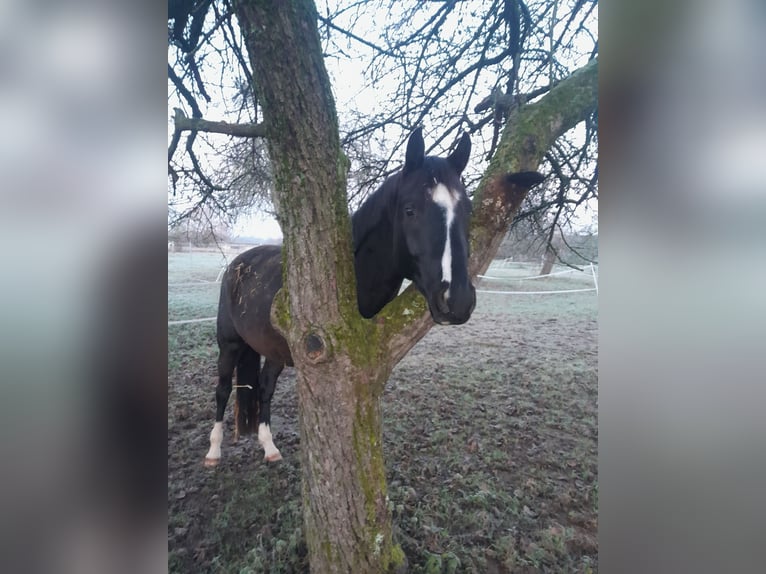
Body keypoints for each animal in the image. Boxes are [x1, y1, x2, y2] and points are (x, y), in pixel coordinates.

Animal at [203, 127, 535, 466]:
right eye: (410, 210)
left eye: (467, 211)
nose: (457, 300)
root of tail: (238, 264)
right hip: (229, 345)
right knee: (222, 388)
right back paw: (213, 451)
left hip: (272, 350)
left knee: (265, 388)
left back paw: (269, 447)